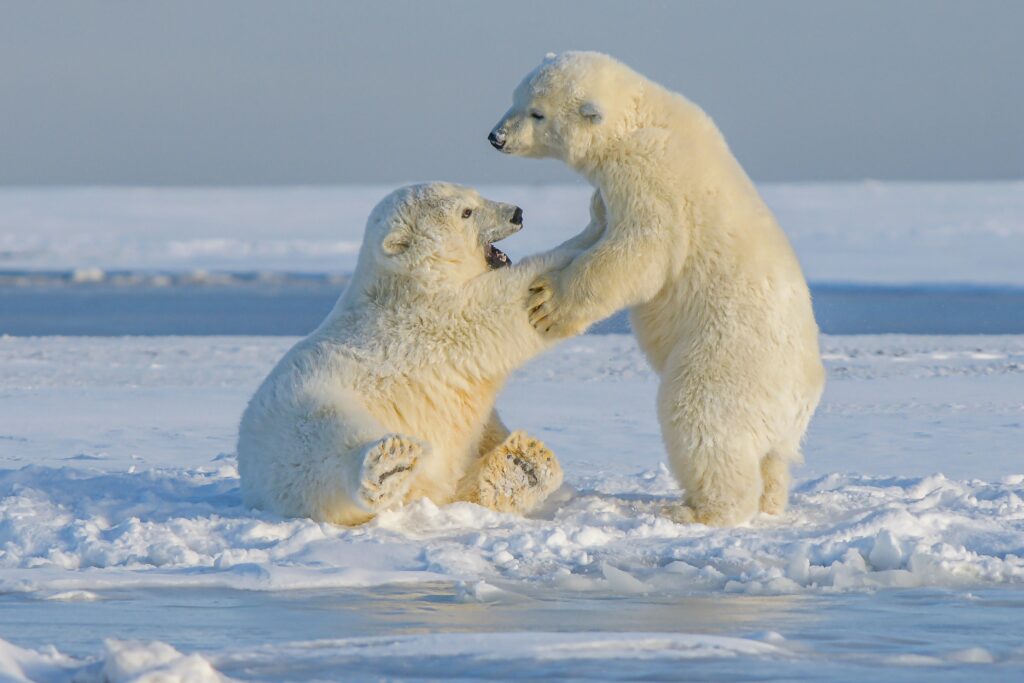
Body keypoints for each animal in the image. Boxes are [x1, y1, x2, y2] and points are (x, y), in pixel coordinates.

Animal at [237, 183, 570, 525]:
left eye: (477, 195)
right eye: (466, 212)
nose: (517, 213)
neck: (406, 282)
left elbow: (481, 425)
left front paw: (521, 463)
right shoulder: (432, 317)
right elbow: (499, 307)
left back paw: (523, 463)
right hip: (303, 412)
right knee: (326, 443)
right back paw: (389, 465)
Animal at [488, 52, 826, 526]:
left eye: (537, 113)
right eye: (516, 98)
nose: (496, 137)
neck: (644, 116)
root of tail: (801, 397)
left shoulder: (650, 174)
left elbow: (641, 249)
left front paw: (548, 304)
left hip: (727, 359)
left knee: (700, 420)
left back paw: (697, 510)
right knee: (772, 459)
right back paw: (770, 502)